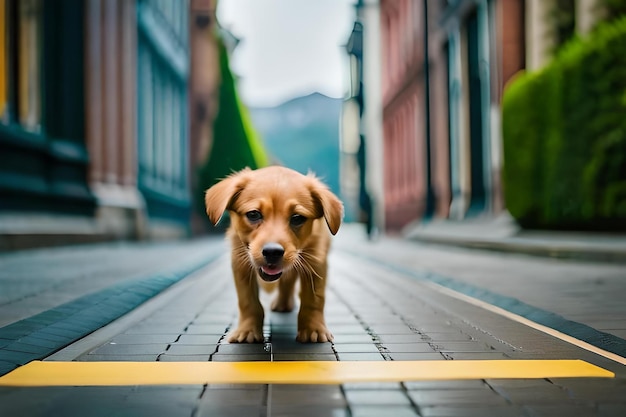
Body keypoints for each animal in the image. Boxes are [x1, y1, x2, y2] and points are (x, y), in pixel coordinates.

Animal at [204, 164, 342, 342]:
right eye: (253, 214)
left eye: (297, 218)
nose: (272, 252)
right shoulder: (240, 263)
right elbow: (248, 301)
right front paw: (247, 330)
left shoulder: (316, 262)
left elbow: (314, 299)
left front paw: (314, 329)